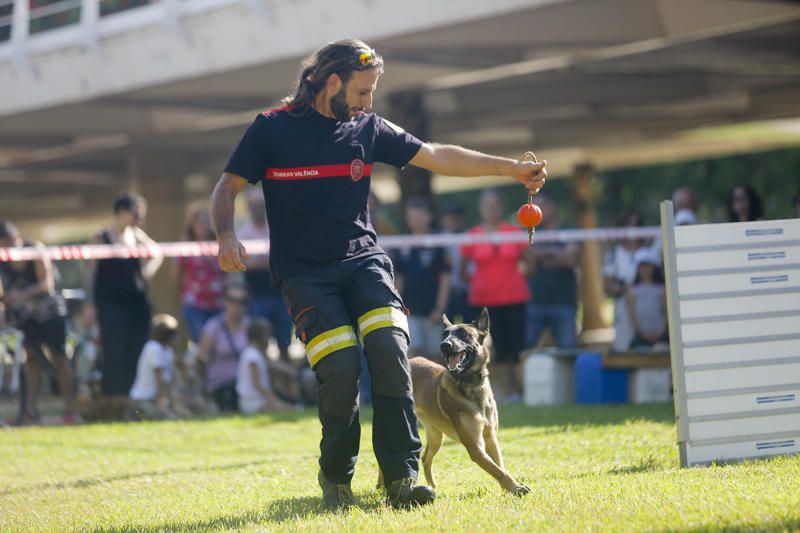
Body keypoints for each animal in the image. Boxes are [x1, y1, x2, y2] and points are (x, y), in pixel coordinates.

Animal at [380, 308, 532, 494]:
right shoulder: (475, 447)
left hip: (437, 436)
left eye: (464, 335)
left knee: (425, 458)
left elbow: (500, 467)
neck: (472, 387)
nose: (444, 345)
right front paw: (516, 488)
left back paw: (432, 486)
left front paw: (509, 488)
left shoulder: (491, 438)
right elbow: (498, 471)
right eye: (444, 335)